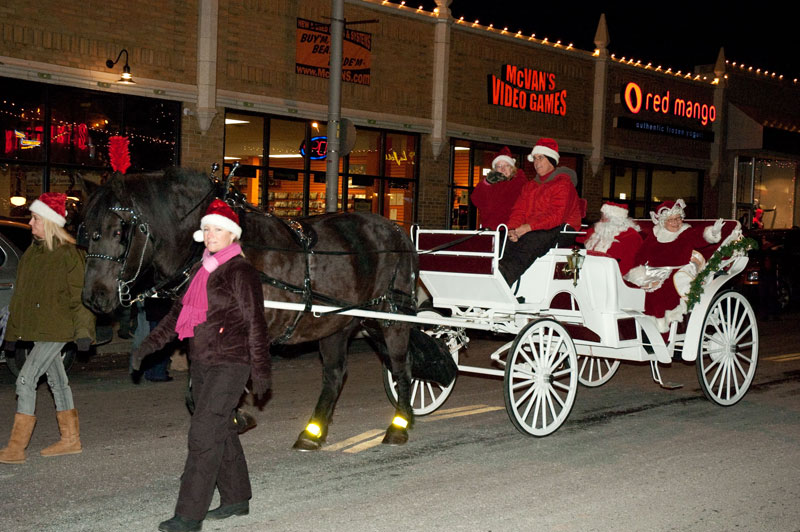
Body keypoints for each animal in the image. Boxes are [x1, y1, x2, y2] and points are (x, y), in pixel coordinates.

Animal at [81, 166, 418, 448]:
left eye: (119, 231)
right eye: (87, 230)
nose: (93, 297)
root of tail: (396, 229)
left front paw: (235, 416)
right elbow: (196, 391)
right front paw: (234, 417)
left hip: (392, 317)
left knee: (401, 367)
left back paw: (399, 425)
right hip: (336, 323)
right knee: (335, 376)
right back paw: (313, 433)